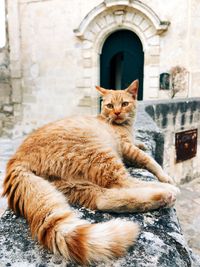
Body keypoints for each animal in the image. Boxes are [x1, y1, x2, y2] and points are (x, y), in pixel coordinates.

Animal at [3, 80, 179, 266]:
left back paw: (160, 198)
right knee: (125, 182)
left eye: (124, 104)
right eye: (110, 105)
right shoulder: (126, 148)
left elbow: (139, 146)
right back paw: (167, 190)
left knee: (104, 199)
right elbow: (149, 160)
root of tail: (16, 159)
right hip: (101, 155)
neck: (123, 126)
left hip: (73, 185)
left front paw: (142, 143)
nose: (117, 112)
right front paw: (164, 175)